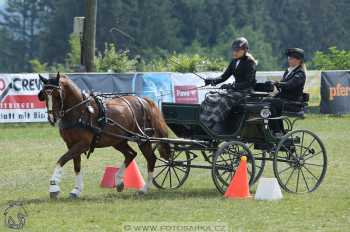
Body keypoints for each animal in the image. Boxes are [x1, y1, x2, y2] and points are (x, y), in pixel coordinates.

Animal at [37, 73, 170, 198]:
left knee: (151, 159)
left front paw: (54, 187)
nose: (52, 118)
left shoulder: (83, 144)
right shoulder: (71, 144)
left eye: (57, 95)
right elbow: (76, 166)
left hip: (143, 139)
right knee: (131, 154)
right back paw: (119, 181)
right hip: (118, 140)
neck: (80, 112)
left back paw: (144, 189)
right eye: (44, 95)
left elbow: (61, 160)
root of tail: (143, 100)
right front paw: (76, 190)